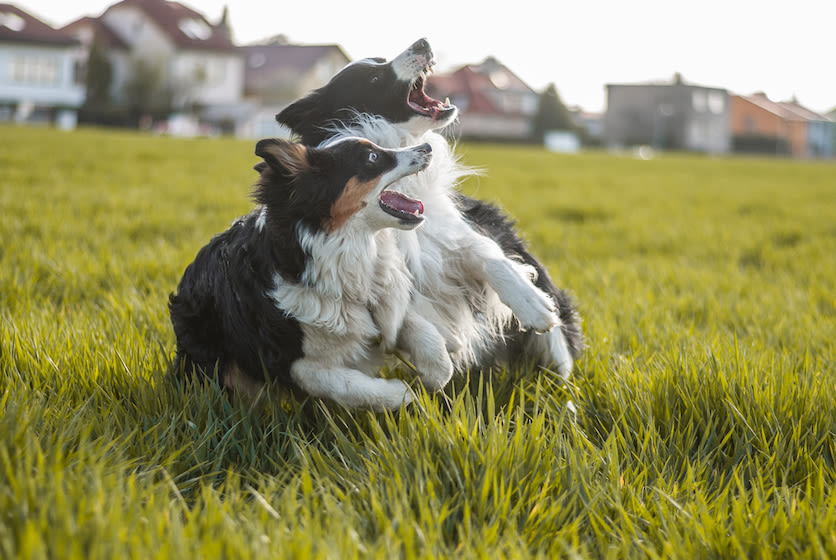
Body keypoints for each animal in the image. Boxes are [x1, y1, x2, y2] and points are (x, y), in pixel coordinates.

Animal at [170, 135, 454, 406]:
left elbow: (421, 330)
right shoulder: (296, 364)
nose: (427, 146)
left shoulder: (383, 298)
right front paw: (403, 394)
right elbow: (350, 386)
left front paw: (434, 374)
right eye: (372, 157)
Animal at [278, 38, 584, 380]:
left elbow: (490, 256)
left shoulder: (452, 232)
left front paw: (532, 304)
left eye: (381, 59)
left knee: (559, 361)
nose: (422, 42)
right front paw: (438, 350)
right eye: (374, 78)